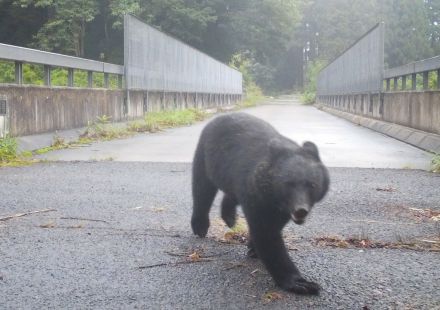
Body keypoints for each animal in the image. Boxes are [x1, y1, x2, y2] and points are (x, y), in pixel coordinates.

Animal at [191, 113, 328, 296]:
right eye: (288, 184)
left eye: (312, 185)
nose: (301, 210)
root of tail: (219, 116)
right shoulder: (256, 194)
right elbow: (267, 233)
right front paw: (301, 283)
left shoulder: (278, 207)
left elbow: (273, 226)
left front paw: (252, 248)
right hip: (206, 156)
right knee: (202, 188)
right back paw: (200, 226)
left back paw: (229, 217)